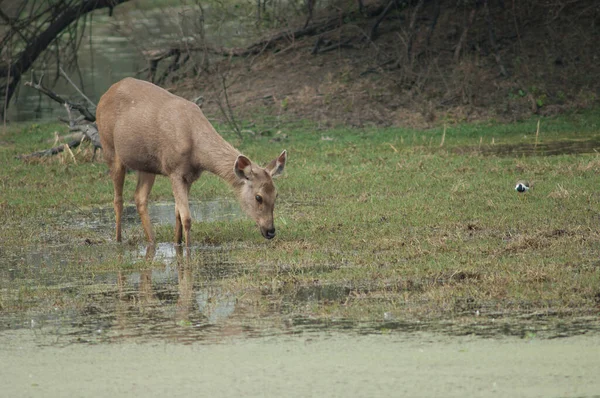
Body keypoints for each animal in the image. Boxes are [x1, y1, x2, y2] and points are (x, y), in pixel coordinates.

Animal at [96, 77, 288, 246]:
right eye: (258, 197)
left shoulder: (189, 176)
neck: (197, 152)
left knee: (140, 198)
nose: (270, 231)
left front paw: (177, 244)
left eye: (276, 194)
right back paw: (118, 240)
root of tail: (104, 95)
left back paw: (152, 240)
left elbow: (178, 215)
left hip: (146, 165)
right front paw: (188, 249)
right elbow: (187, 218)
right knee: (118, 200)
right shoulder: (174, 170)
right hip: (110, 148)